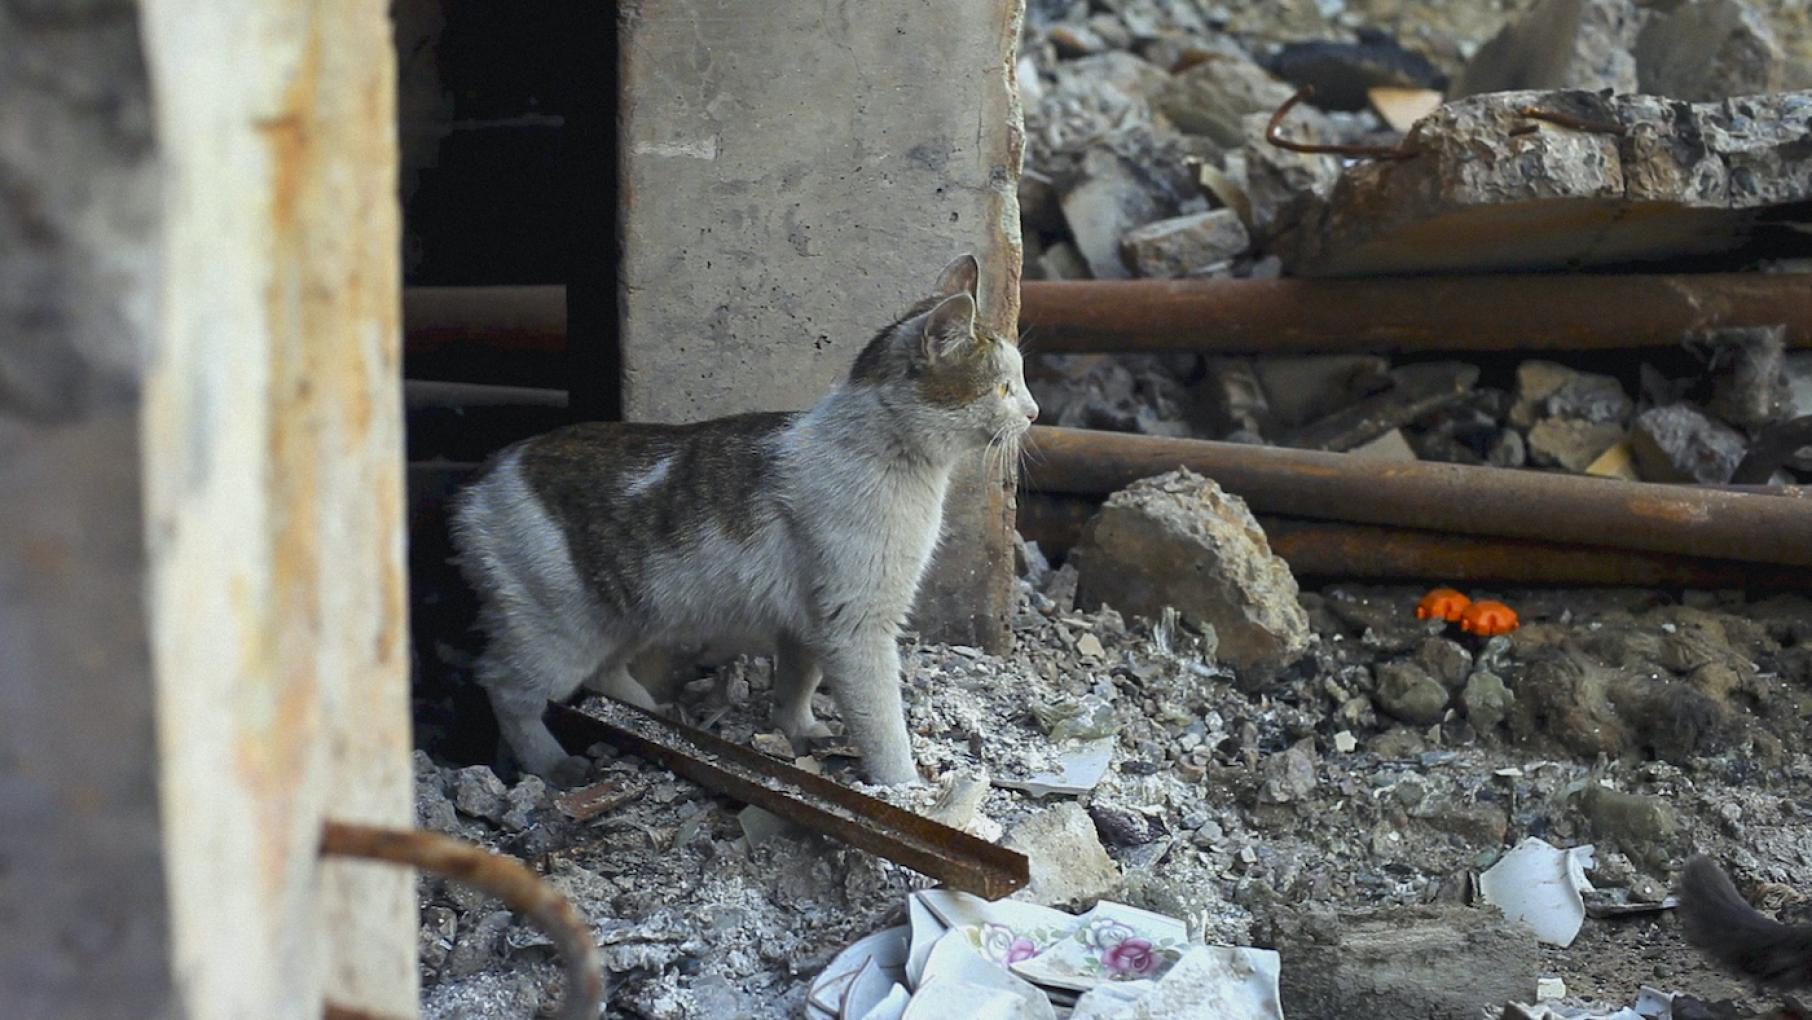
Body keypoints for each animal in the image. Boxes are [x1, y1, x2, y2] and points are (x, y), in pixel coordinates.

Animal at [449, 255, 1036, 782]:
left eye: (1020, 384)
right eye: (1003, 388)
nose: (1033, 412)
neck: (895, 462)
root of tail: (483, 478)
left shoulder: (810, 623)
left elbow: (797, 683)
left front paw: (798, 730)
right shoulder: (856, 625)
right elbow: (882, 725)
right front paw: (906, 789)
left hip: (629, 617)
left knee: (605, 672)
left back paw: (654, 715)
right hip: (559, 629)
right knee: (505, 688)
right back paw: (555, 767)